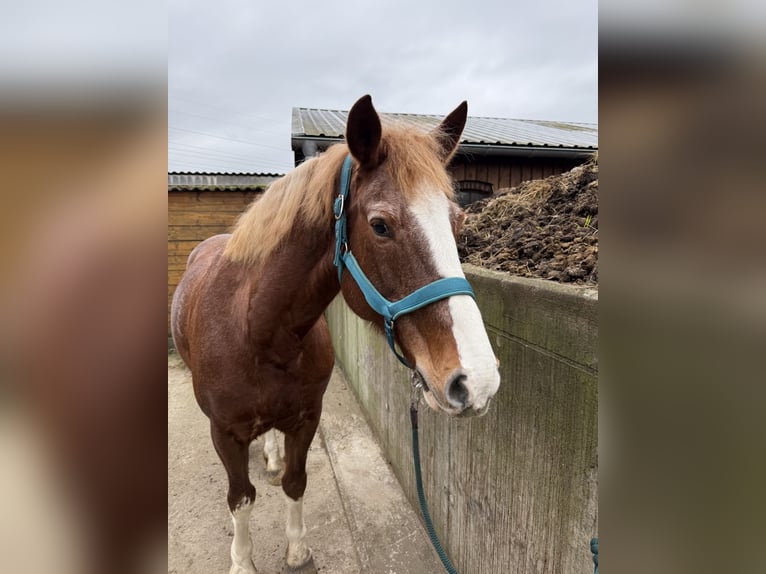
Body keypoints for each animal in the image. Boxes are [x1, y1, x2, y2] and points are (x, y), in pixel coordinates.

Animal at [170, 95, 501, 573]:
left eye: (457, 221)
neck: (258, 331)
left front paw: (296, 548)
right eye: (380, 225)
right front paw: (242, 562)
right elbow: (241, 499)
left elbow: (295, 481)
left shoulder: (307, 418)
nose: (477, 380)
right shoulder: (225, 433)